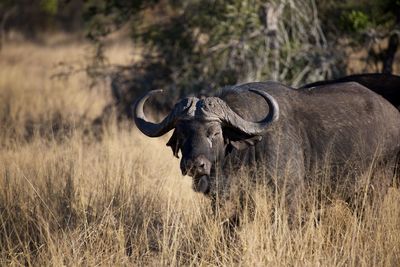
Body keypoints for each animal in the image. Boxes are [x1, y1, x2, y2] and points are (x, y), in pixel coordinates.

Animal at [134, 79, 400, 214]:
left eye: (215, 132)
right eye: (182, 133)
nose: (194, 165)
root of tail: (393, 114)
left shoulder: (289, 196)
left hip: (374, 188)